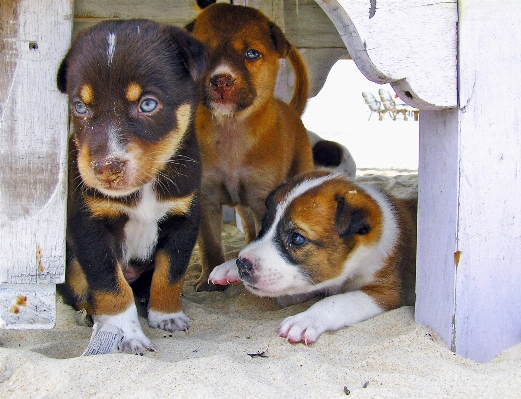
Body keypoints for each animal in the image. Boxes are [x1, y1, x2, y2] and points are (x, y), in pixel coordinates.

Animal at [55, 20, 205, 354]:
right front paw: (124, 332)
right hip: (72, 265)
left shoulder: (184, 218)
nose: (105, 168)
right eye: (80, 107)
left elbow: (170, 273)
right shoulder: (90, 226)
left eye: (147, 104)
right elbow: (111, 286)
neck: (144, 188)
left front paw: (166, 315)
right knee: (79, 291)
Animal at [186, 3, 312, 290]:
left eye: (251, 54)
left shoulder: (263, 198)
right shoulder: (206, 198)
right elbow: (209, 244)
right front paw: (209, 280)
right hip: (242, 205)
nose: (222, 80)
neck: (231, 129)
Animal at [207, 171, 414, 344]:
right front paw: (229, 267)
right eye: (264, 226)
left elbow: (338, 301)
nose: (242, 264)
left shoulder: (386, 292)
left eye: (297, 238)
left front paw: (307, 319)